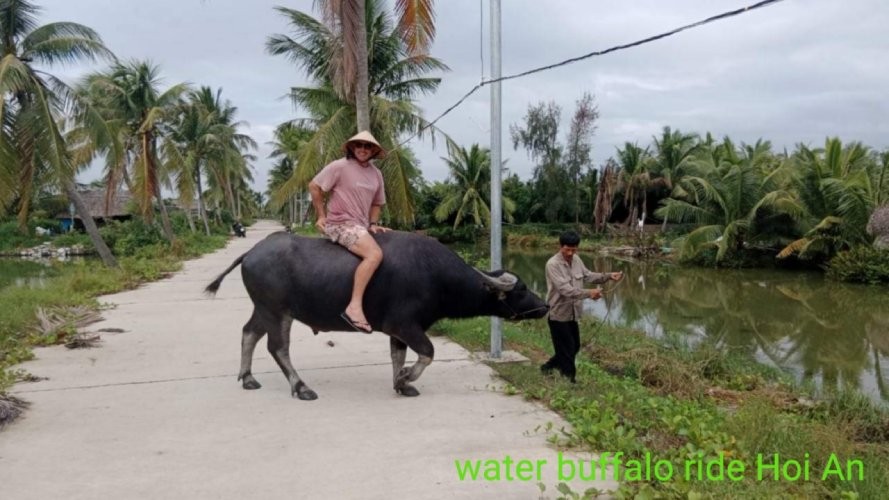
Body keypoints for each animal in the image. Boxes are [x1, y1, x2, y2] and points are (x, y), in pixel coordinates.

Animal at [206, 232, 548, 400]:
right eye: (522, 289)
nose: (544, 307)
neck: (437, 276)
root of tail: (251, 253)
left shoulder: (399, 330)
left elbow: (399, 354)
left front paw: (401, 383)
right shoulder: (404, 324)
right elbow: (427, 352)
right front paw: (407, 377)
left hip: (263, 309)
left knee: (249, 332)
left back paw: (248, 378)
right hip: (278, 311)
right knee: (277, 347)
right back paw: (301, 388)